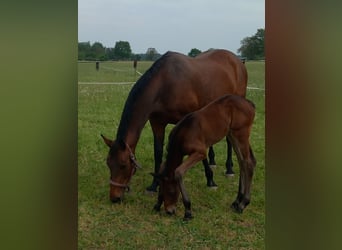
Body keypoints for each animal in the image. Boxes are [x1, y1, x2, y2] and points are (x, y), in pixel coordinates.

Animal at [100, 49, 247, 203]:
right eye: (108, 163)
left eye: (123, 165)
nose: (114, 197)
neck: (166, 83)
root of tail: (236, 60)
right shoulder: (157, 123)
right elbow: (158, 153)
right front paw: (154, 185)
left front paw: (210, 181)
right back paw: (214, 161)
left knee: (230, 139)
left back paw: (229, 169)